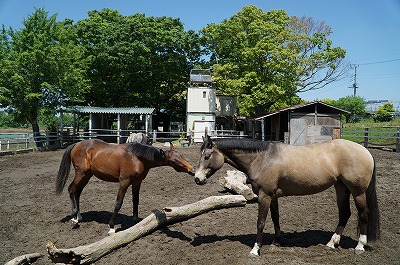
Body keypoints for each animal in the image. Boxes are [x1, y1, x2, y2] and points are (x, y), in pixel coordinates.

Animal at [55, 138, 194, 233]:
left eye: (182, 155)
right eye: (174, 161)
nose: (192, 170)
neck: (136, 158)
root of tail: (76, 144)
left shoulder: (137, 182)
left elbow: (136, 200)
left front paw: (136, 220)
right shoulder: (124, 182)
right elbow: (118, 203)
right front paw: (111, 227)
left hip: (87, 175)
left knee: (78, 192)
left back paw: (79, 215)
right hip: (81, 173)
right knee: (71, 190)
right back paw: (74, 218)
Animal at [193, 135, 378, 255]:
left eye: (207, 156)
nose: (197, 178)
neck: (263, 158)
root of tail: (365, 151)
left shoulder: (265, 195)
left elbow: (260, 223)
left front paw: (256, 249)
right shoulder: (273, 196)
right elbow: (275, 218)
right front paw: (276, 241)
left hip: (358, 192)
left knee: (364, 213)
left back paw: (360, 246)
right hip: (341, 187)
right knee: (344, 213)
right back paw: (331, 243)